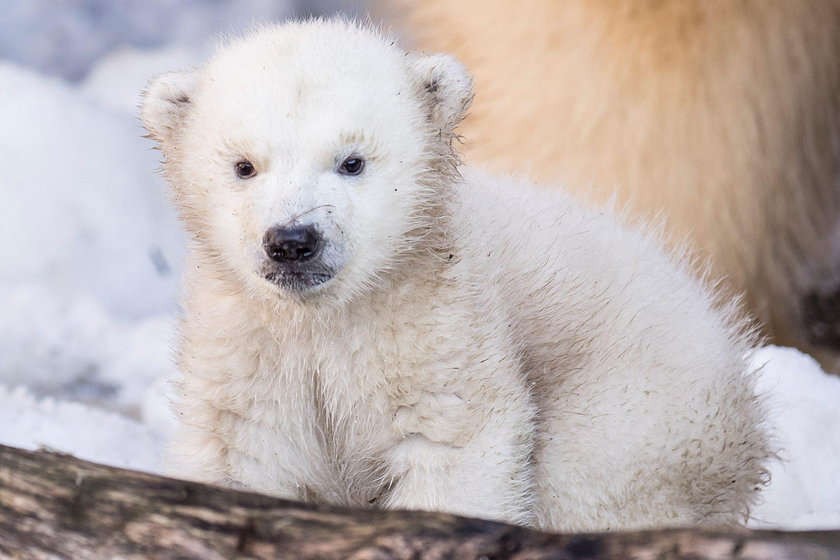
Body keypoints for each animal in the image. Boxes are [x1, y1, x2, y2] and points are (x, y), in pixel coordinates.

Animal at [141, 19, 772, 532]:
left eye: (352, 161)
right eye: (244, 165)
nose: (293, 242)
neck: (329, 315)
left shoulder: (438, 326)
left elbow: (451, 446)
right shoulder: (250, 346)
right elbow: (243, 453)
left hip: (643, 412)